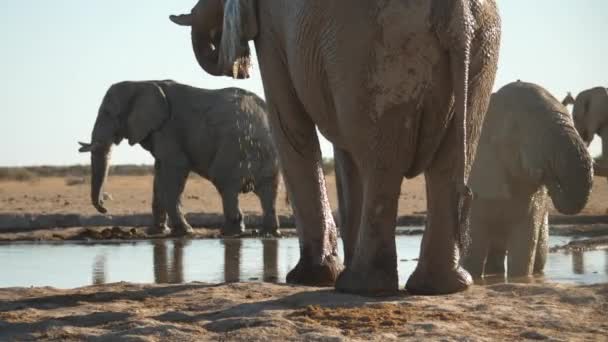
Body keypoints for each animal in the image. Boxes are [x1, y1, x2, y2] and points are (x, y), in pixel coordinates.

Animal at [76, 80, 282, 236]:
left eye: (109, 113)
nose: (104, 208)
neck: (142, 83)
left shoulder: (168, 129)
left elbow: (173, 171)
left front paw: (184, 232)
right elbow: (159, 175)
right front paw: (156, 232)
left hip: (237, 147)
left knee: (225, 183)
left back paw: (229, 232)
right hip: (265, 152)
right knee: (268, 190)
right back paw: (268, 232)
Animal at [170, 0, 498, 296]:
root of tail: (457, 12)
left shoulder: (272, 33)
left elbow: (289, 123)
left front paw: (309, 278)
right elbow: (345, 154)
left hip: (377, 49)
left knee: (382, 167)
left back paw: (361, 287)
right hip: (479, 54)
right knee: (445, 165)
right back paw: (439, 286)